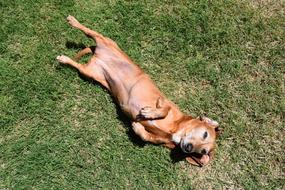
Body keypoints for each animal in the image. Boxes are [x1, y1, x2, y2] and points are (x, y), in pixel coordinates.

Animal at [56, 15, 219, 166]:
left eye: (203, 151)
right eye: (205, 134)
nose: (188, 147)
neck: (176, 128)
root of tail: (97, 56)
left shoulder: (160, 140)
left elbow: (146, 137)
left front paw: (138, 127)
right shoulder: (165, 101)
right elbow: (164, 109)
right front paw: (150, 113)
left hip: (89, 72)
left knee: (77, 65)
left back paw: (65, 58)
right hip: (105, 41)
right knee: (90, 31)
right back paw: (73, 22)